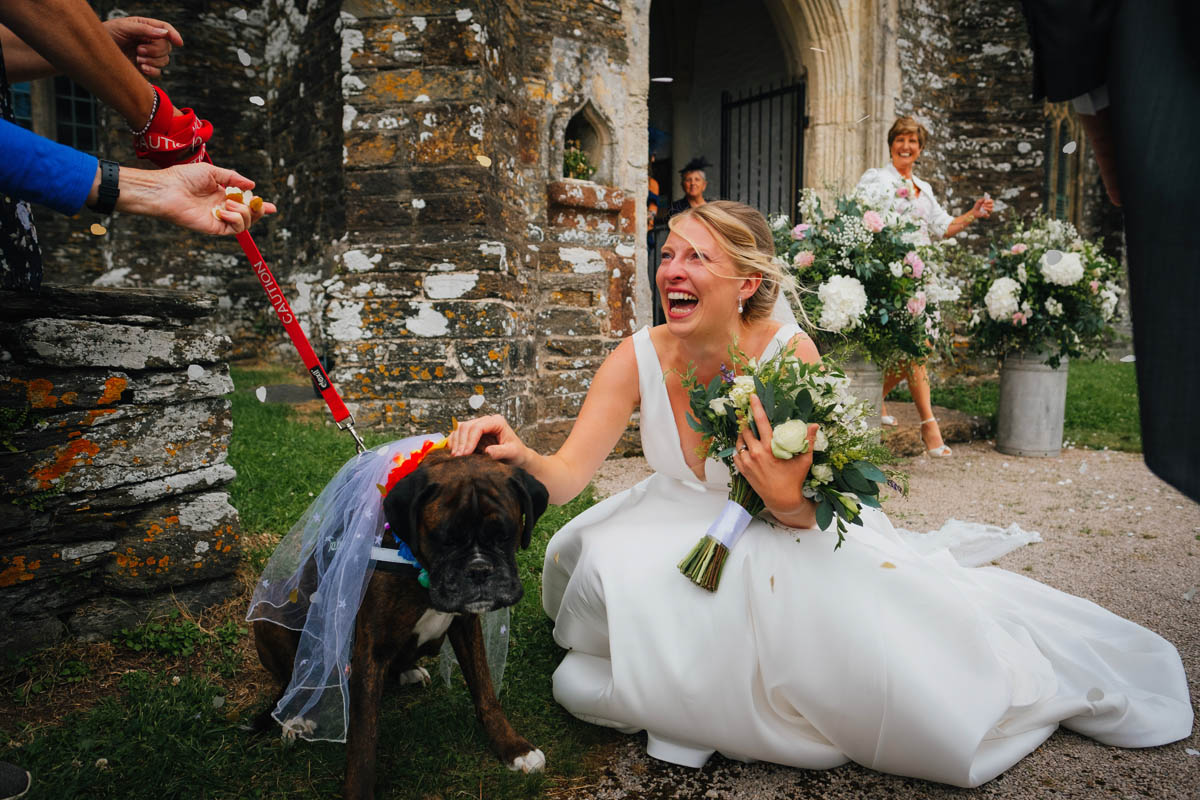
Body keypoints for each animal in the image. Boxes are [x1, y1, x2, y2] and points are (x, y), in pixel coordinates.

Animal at [256, 438, 552, 800]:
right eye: (445, 539)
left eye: (504, 535)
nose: (480, 570)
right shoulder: (371, 648)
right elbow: (364, 737)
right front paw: (358, 789)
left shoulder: (466, 625)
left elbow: (485, 691)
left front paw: (513, 747)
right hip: (270, 616)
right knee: (297, 679)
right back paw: (296, 716)